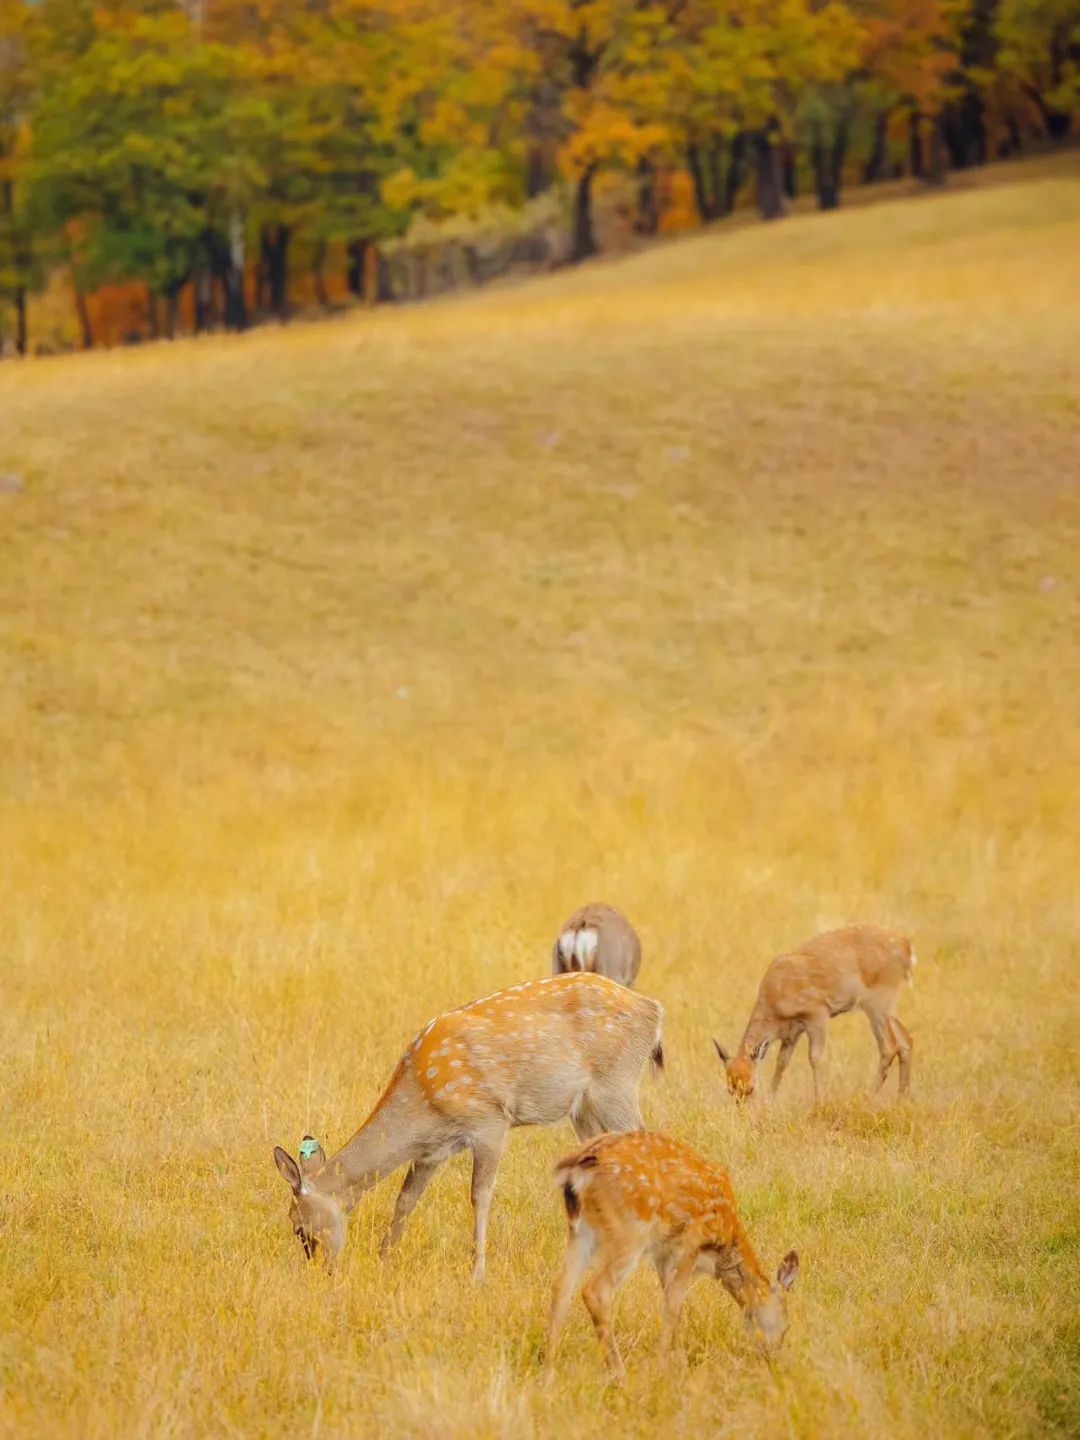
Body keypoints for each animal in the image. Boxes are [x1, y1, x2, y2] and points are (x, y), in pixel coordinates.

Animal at [275, 973, 665, 1278]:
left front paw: (477, 1272)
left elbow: (480, 1196)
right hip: (584, 1108)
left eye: (298, 1228)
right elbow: (405, 1200)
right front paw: (385, 1256)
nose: (322, 1269)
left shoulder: (490, 1120)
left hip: (615, 1084)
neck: (422, 1102)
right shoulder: (432, 1152)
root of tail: (653, 1010)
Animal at [544, 1128, 800, 1376]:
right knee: (595, 1291)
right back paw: (619, 1372)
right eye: (786, 1325)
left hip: (580, 1231)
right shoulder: (693, 1240)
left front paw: (678, 1359)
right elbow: (674, 1304)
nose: (772, 1356)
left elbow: (669, 1297)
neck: (724, 1243)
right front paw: (664, 1364)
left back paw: (549, 1372)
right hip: (629, 1232)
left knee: (560, 1288)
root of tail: (577, 1170)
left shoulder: (663, 1254)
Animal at [714, 921, 915, 1100]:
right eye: (730, 1090)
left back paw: (868, 1096)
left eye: (751, 1088)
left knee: (889, 1046)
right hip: (887, 1006)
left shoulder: (818, 1014)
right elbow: (782, 1062)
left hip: (878, 1003)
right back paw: (901, 1099)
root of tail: (907, 947)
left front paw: (819, 1101)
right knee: (905, 1039)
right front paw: (770, 1101)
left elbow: (815, 1058)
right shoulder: (792, 1032)